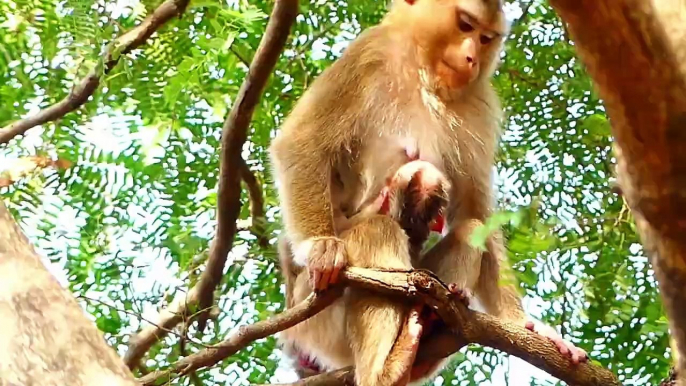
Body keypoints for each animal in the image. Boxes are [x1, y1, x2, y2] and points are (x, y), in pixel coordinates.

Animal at [272, 0, 588, 382]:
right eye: (465, 25)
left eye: (486, 38)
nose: (471, 57)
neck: (422, 71)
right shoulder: (368, 53)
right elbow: (303, 142)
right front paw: (321, 248)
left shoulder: (479, 102)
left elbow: (473, 212)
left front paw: (526, 324)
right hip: (318, 321)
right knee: (375, 232)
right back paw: (385, 370)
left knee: (468, 231)